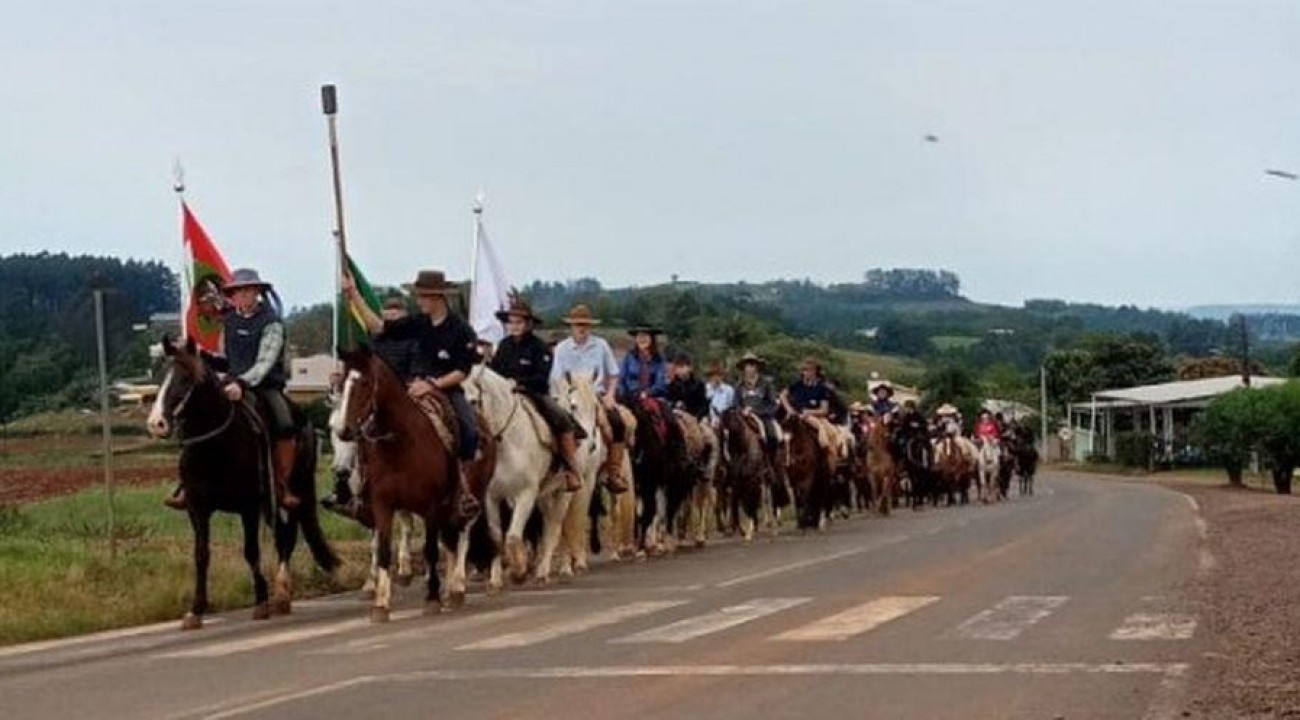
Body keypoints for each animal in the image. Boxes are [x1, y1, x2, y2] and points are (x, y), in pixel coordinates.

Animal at [147, 335, 340, 629]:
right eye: (158, 376)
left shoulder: (248, 506)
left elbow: (251, 551)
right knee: (282, 534)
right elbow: (201, 555)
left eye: (186, 377)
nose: (156, 423)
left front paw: (261, 602)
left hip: (293, 493)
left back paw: (281, 594)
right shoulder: (197, 508)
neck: (215, 447)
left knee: (288, 535)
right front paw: (196, 610)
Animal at [335, 345, 491, 618]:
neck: (401, 441)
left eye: (364, 383)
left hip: (471, 500)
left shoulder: (431, 505)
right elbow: (384, 550)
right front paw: (381, 605)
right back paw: (450, 591)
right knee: (451, 541)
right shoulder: (383, 505)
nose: (344, 431)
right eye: (342, 382)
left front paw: (431, 599)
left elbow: (430, 550)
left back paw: (457, 588)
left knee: (462, 538)